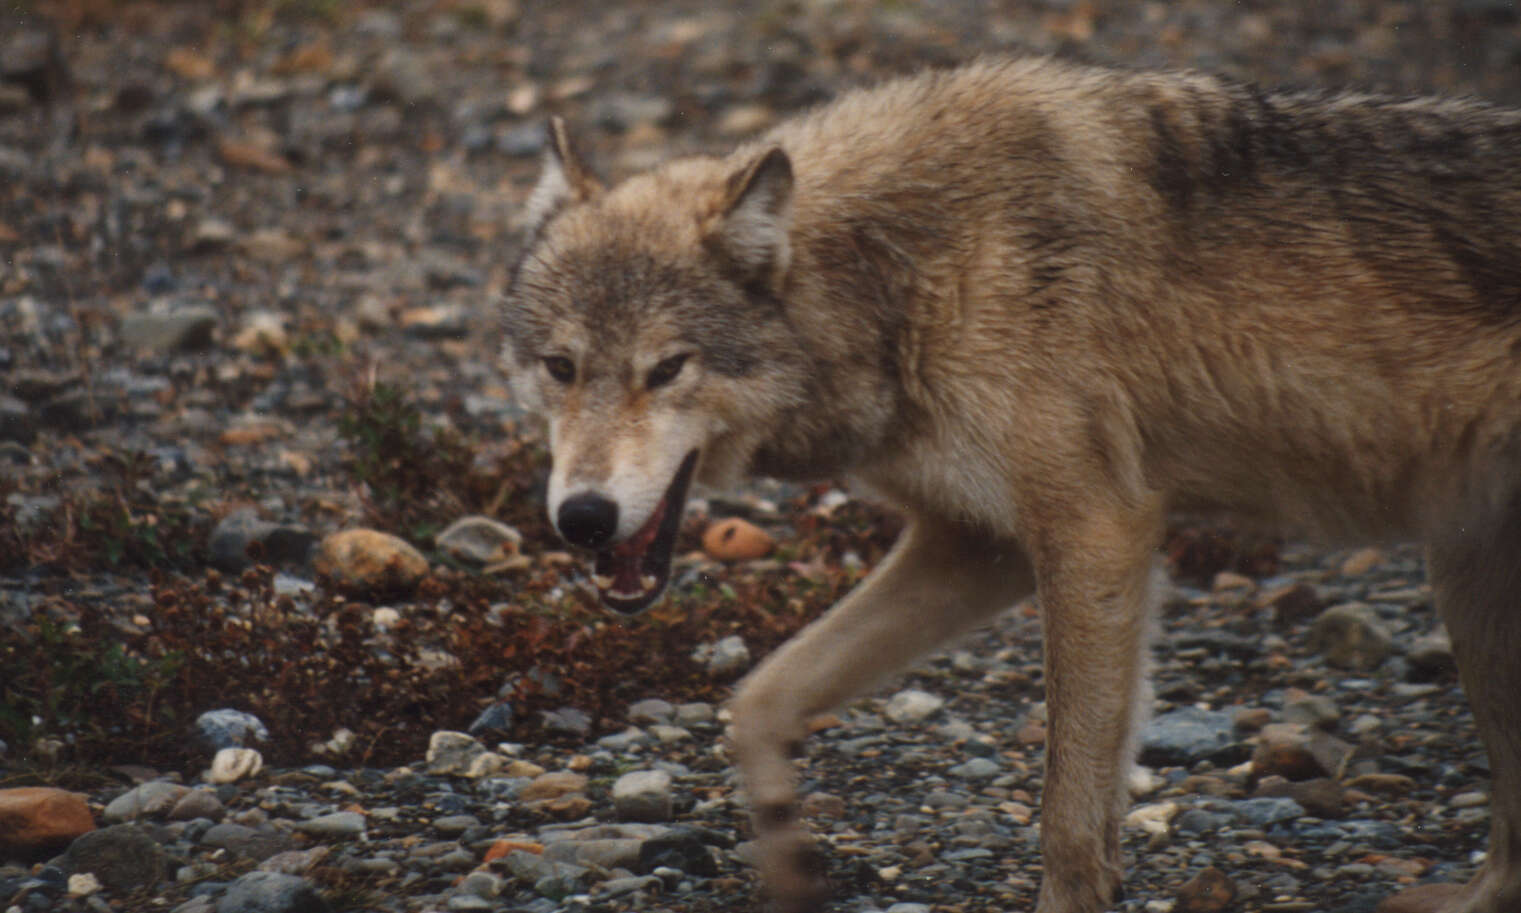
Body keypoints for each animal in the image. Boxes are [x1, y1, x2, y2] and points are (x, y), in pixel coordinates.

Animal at [504, 57, 1521, 913]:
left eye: (665, 369)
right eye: (560, 366)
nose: (582, 517)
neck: (901, 273)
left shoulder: (1095, 529)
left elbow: (1069, 805)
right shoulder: (974, 546)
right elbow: (759, 698)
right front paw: (789, 863)